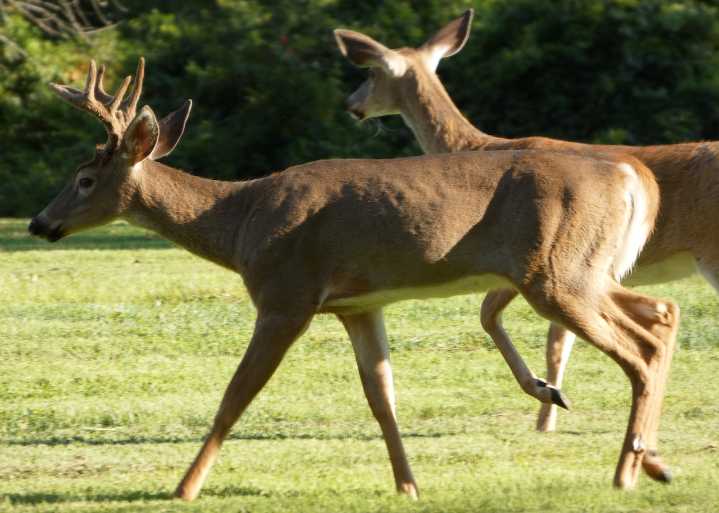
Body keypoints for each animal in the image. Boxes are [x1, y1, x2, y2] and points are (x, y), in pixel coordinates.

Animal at [28, 57, 679, 501]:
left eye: (85, 179)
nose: (39, 222)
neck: (241, 224)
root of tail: (634, 178)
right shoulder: (358, 305)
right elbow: (382, 399)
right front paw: (408, 485)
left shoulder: (285, 295)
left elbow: (235, 398)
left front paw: (183, 488)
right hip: (587, 269)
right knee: (662, 315)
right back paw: (649, 460)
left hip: (556, 273)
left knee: (641, 350)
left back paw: (627, 470)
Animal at [335, 8, 719, 441]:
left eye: (370, 73)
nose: (350, 105)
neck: (477, 145)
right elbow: (553, 338)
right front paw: (549, 404)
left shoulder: (517, 259)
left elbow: (500, 319)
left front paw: (546, 402)